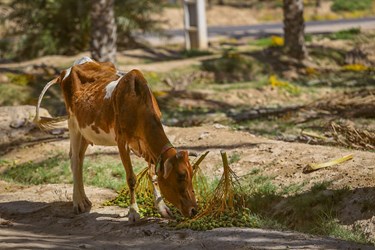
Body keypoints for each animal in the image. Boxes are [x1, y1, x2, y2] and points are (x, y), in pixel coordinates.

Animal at [34, 57, 200, 223]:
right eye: (181, 175)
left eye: (191, 173)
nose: (194, 210)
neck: (138, 105)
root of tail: (66, 71)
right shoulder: (122, 140)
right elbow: (131, 178)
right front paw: (133, 212)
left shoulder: (146, 145)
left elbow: (152, 174)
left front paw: (163, 209)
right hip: (73, 123)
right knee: (74, 159)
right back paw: (78, 202)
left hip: (85, 131)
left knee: (79, 159)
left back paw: (85, 200)